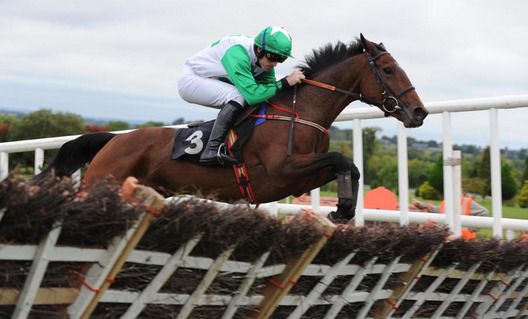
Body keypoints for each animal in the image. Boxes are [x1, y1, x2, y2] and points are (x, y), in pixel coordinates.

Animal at [40, 33, 428, 221]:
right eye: (389, 69)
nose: (419, 112)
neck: (298, 112)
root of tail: (112, 141)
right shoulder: (282, 169)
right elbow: (342, 160)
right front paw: (344, 208)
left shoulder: (298, 178)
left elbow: (349, 166)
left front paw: (343, 208)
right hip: (101, 184)